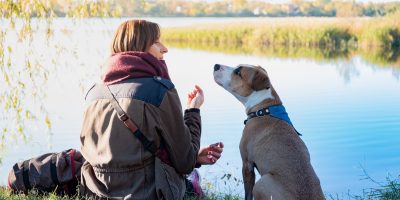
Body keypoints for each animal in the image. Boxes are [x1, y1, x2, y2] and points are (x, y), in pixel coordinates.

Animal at [214, 64, 324, 200]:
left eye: (238, 72)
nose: (216, 65)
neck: (263, 109)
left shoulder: (247, 164)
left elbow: (247, 194)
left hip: (262, 182)